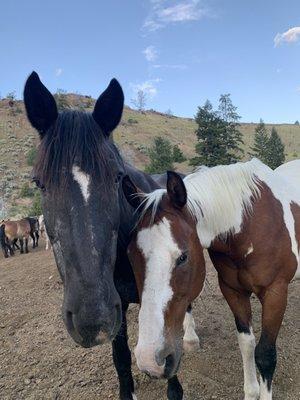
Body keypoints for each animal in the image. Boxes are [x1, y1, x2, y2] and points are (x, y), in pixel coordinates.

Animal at [23, 72, 197, 400]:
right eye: (39, 183)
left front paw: (175, 388)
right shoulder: (119, 311)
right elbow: (122, 358)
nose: (93, 319)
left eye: (117, 177)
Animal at [122, 159, 300, 400]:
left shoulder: (275, 292)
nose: (150, 360)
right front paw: (251, 392)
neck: (250, 222)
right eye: (130, 255)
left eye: (183, 256)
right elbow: (247, 343)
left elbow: (265, 355)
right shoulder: (232, 290)